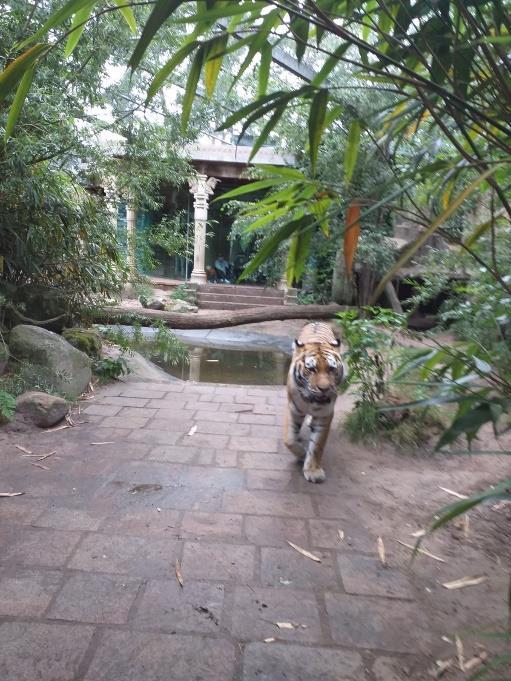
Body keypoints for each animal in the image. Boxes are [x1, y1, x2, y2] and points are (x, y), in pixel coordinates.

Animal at [284, 322, 344, 480]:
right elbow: (289, 440)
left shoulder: (324, 415)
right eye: (311, 369)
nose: (324, 388)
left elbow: (317, 446)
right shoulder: (293, 409)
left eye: (331, 369)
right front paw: (302, 454)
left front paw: (313, 471)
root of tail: (316, 322)